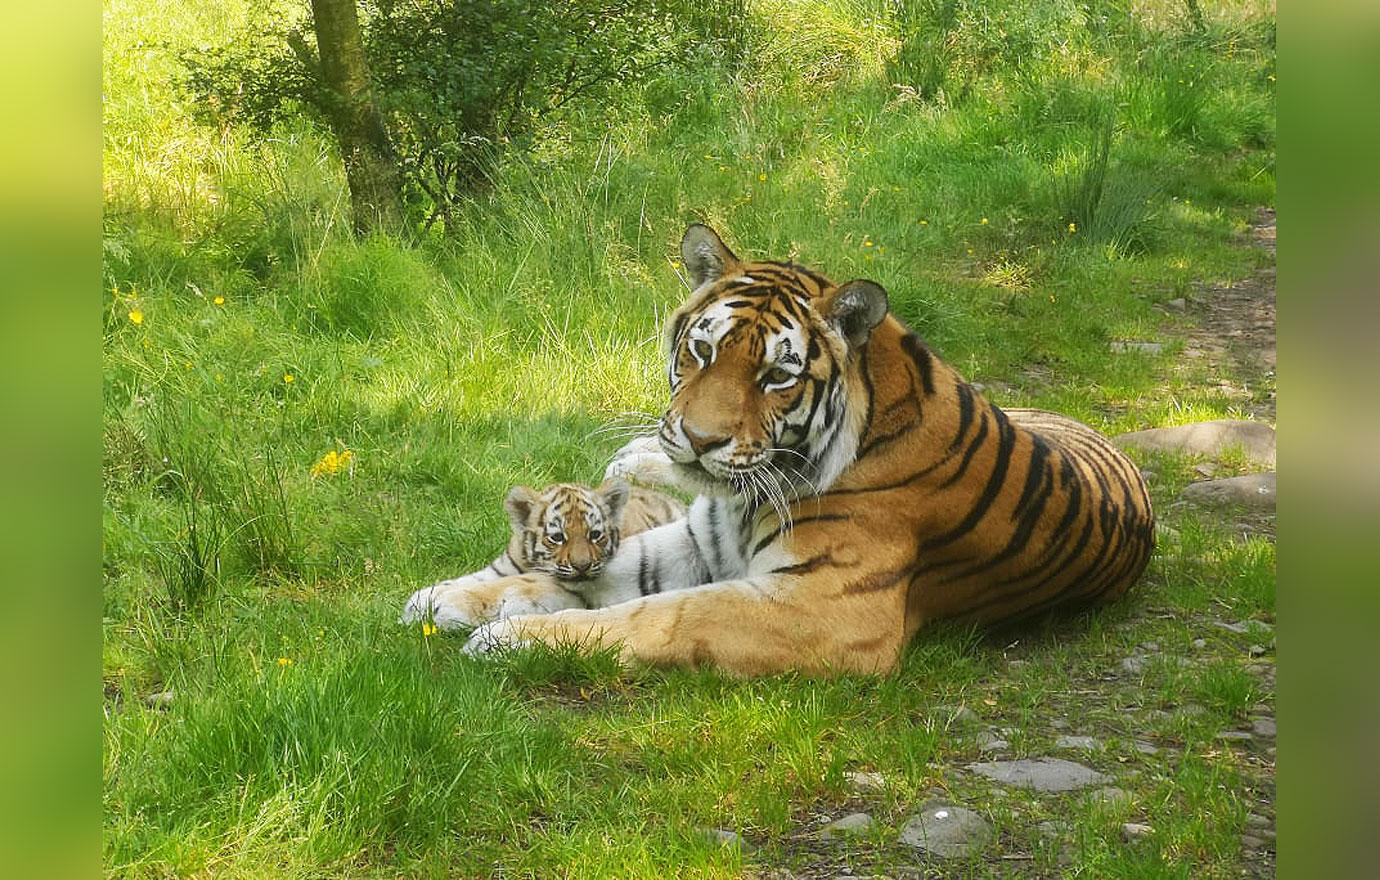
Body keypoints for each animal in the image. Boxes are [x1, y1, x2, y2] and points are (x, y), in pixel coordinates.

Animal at [419, 226, 1153, 675]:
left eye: (777, 375)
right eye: (702, 350)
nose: (700, 440)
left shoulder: (821, 610)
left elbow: (659, 612)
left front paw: (508, 636)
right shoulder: (703, 537)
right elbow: (601, 571)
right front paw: (450, 598)